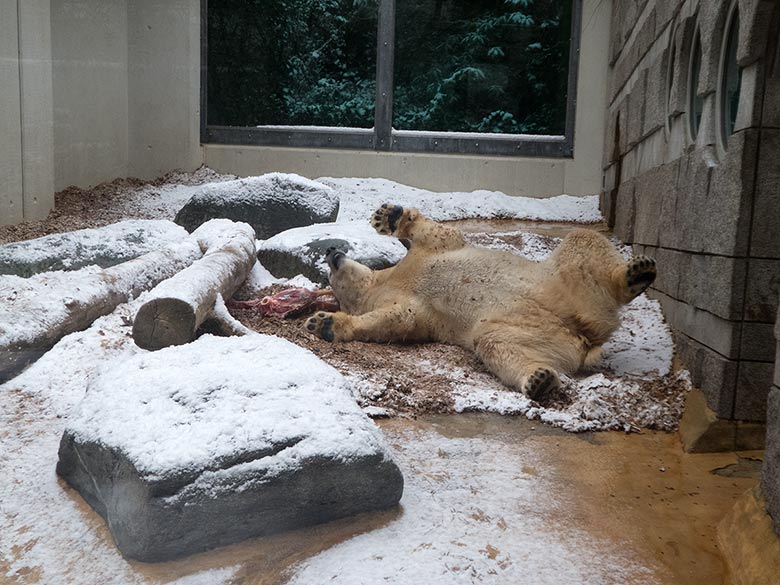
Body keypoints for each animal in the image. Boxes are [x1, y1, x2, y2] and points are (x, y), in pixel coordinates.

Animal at [302, 203, 656, 404]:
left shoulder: (425, 256)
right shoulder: (404, 301)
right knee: (496, 344)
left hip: (559, 282)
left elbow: (438, 235)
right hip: (537, 329)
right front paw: (325, 323)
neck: (387, 279)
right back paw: (539, 380)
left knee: (582, 241)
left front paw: (388, 216)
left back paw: (636, 272)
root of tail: (585, 331)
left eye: (330, 270)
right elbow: (399, 320)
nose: (331, 250)